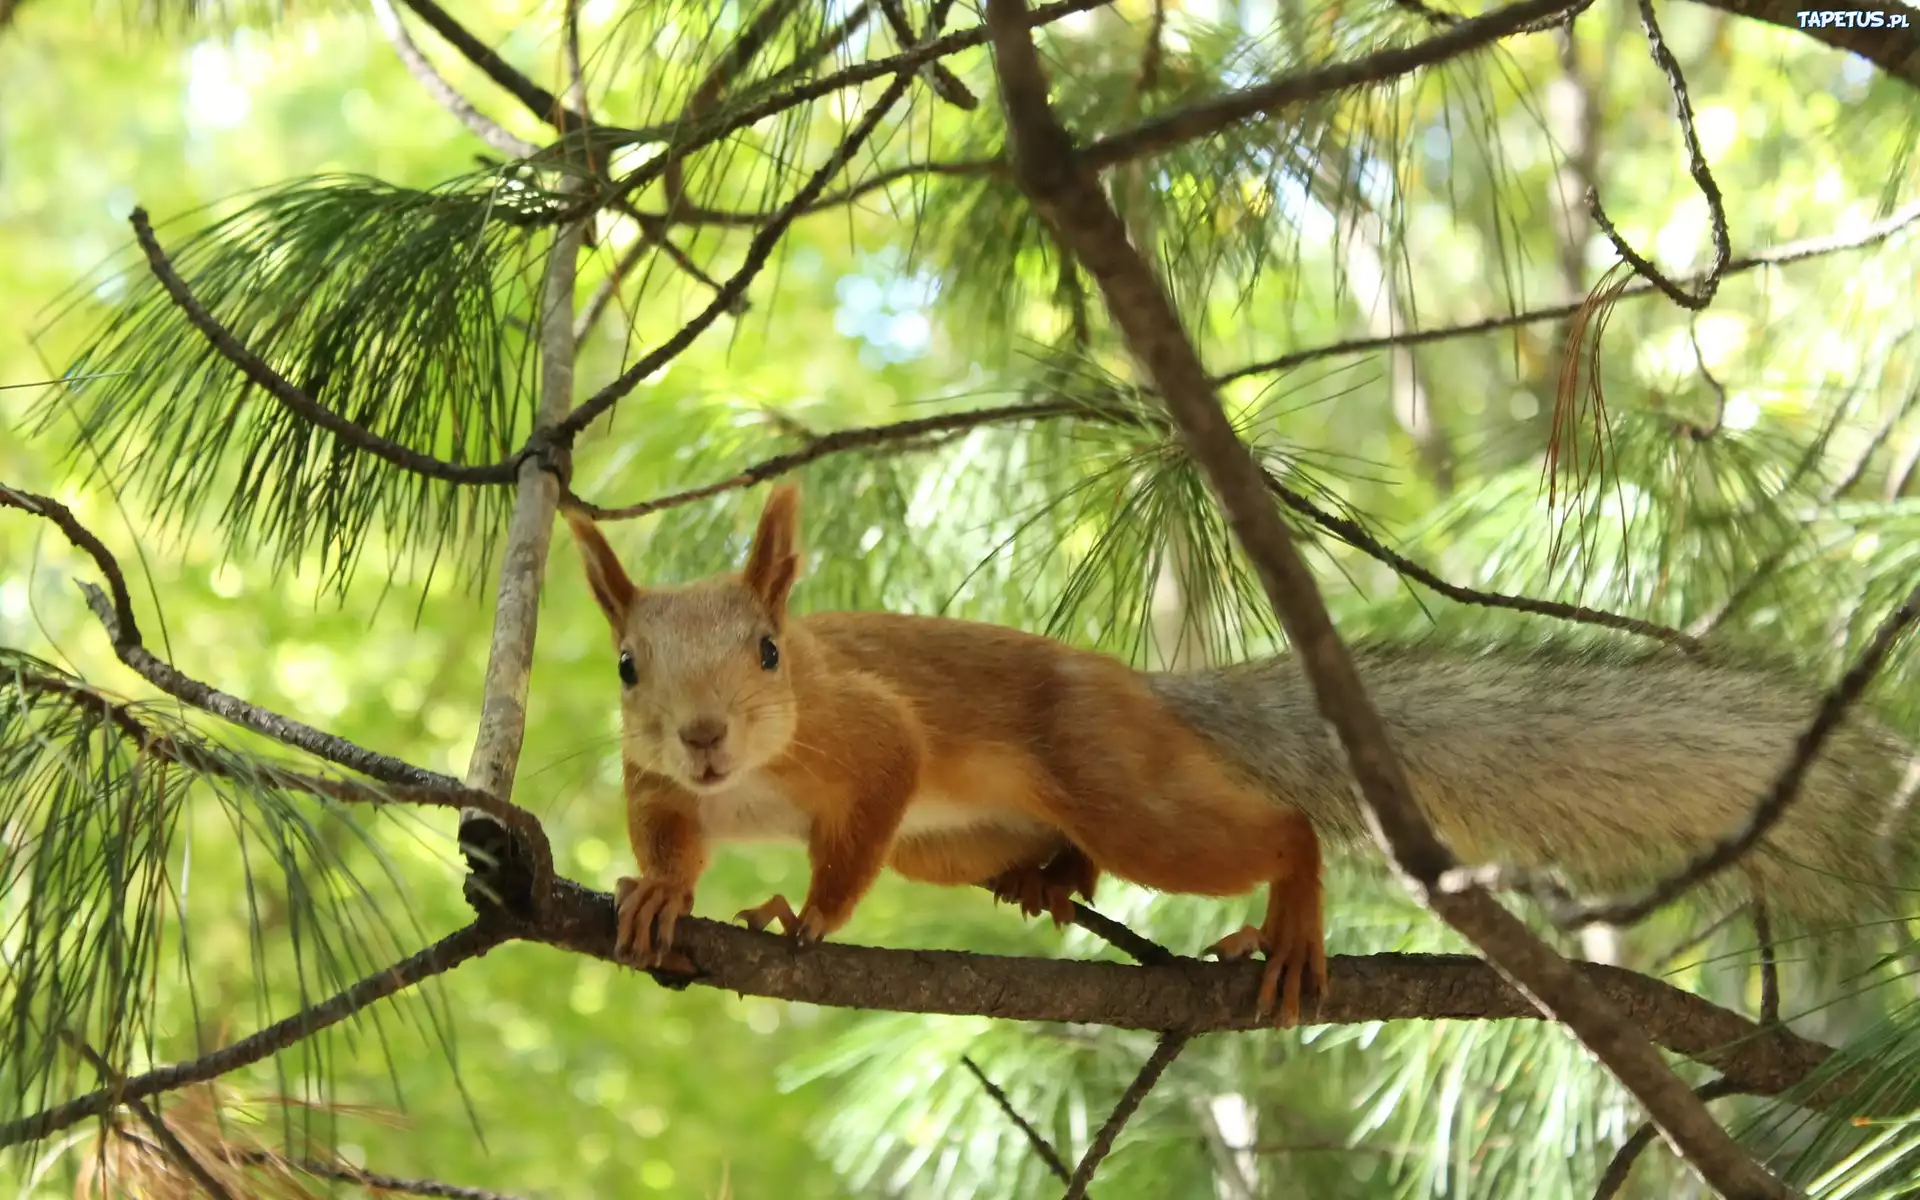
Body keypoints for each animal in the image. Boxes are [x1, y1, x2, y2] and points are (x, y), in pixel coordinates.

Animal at [560, 481, 1328, 1021]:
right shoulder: (655, 779)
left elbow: (864, 819)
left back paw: (1292, 926)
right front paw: (661, 891)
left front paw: (809, 917)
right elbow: (669, 839)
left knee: (1283, 830)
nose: (702, 734)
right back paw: (1047, 878)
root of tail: (1141, 689)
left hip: (1117, 780)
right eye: (627, 666)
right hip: (943, 845)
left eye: (768, 651)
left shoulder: (871, 729)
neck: (745, 778)